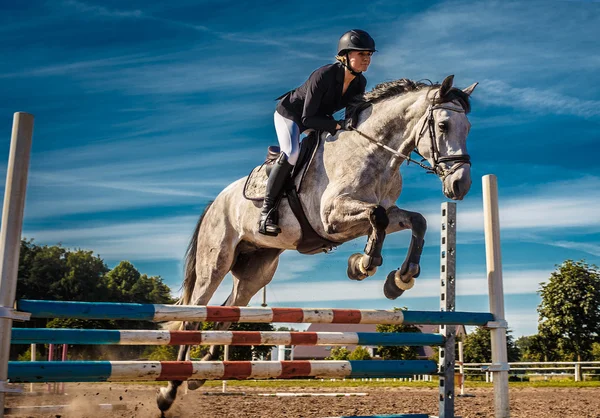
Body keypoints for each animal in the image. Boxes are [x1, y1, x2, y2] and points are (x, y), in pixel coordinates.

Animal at [157, 75, 476, 412]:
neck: (373, 152)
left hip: (256, 271)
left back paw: (200, 373)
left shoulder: (385, 213)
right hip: (216, 261)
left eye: (468, 127)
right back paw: (171, 388)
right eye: (443, 125)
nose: (461, 185)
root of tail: (215, 203)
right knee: (193, 317)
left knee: (226, 312)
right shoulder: (331, 217)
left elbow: (415, 221)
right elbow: (376, 217)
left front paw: (399, 279)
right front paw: (364, 264)